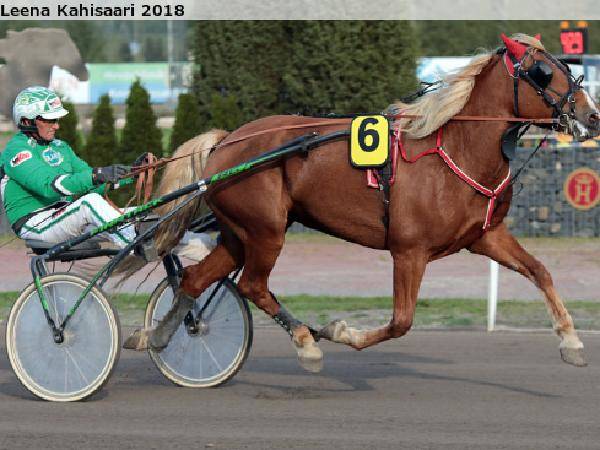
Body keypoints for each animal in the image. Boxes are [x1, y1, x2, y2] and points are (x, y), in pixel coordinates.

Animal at [130, 33, 600, 371]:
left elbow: (540, 271)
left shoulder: (485, 236)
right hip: (266, 230)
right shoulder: (408, 251)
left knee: (194, 280)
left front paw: (572, 341)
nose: (592, 115)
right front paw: (341, 331)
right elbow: (401, 321)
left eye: (567, 65)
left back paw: (158, 335)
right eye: (543, 72)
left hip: (238, 234)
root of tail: (227, 141)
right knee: (252, 286)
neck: (456, 148)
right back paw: (306, 342)